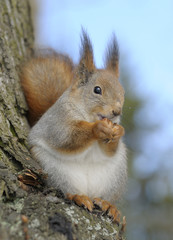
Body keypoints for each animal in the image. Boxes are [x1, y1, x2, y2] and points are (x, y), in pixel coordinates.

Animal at [20, 30, 127, 225]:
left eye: (123, 93)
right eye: (97, 90)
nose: (117, 111)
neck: (87, 115)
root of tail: (88, 190)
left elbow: (110, 150)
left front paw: (119, 132)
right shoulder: (58, 120)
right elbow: (66, 137)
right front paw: (97, 128)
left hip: (116, 175)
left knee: (103, 195)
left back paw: (108, 204)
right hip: (54, 169)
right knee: (66, 189)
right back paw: (78, 196)